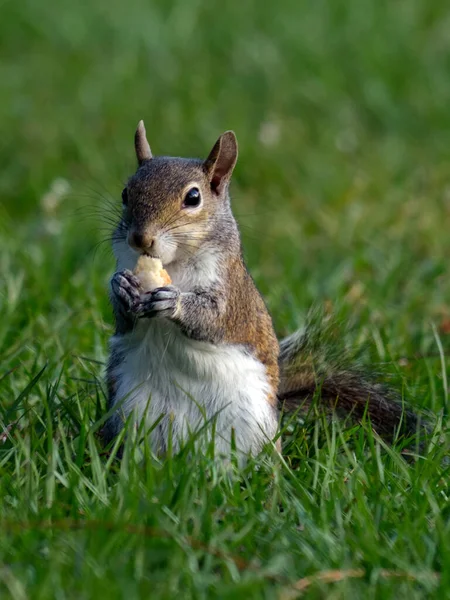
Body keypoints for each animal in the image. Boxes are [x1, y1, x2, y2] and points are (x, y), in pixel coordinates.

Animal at [103, 120, 420, 460]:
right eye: (125, 193)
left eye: (193, 197)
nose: (140, 238)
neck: (174, 264)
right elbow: (125, 321)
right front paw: (121, 287)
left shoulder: (233, 293)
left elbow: (215, 319)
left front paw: (174, 303)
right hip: (132, 413)